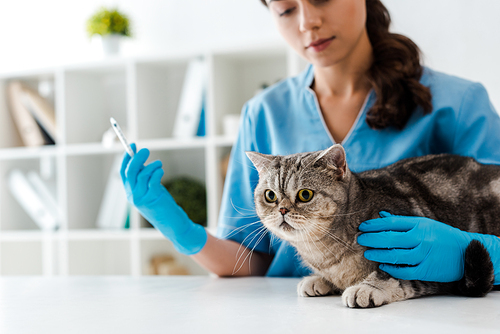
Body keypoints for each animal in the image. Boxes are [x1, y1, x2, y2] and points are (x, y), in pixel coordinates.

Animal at [247, 144, 500, 308]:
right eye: (270, 196)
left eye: (305, 195)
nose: (282, 209)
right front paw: (319, 280)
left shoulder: (417, 257)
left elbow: (391, 273)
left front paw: (368, 287)